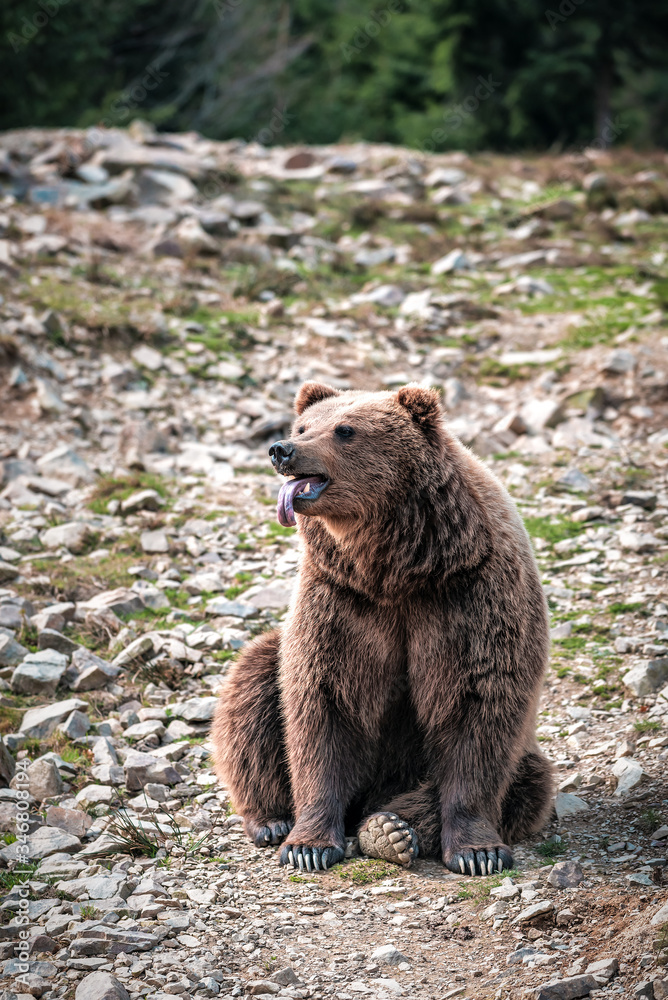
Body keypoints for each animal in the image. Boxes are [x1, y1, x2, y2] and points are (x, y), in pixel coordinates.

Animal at [211, 382, 553, 876]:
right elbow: (323, 705)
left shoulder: (471, 595)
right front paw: (308, 845)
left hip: (521, 759)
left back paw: (391, 829)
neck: (395, 569)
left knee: (525, 784)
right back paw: (272, 820)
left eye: (345, 430)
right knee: (253, 690)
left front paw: (478, 853)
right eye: (303, 426)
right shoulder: (341, 601)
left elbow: (477, 709)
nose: (282, 449)